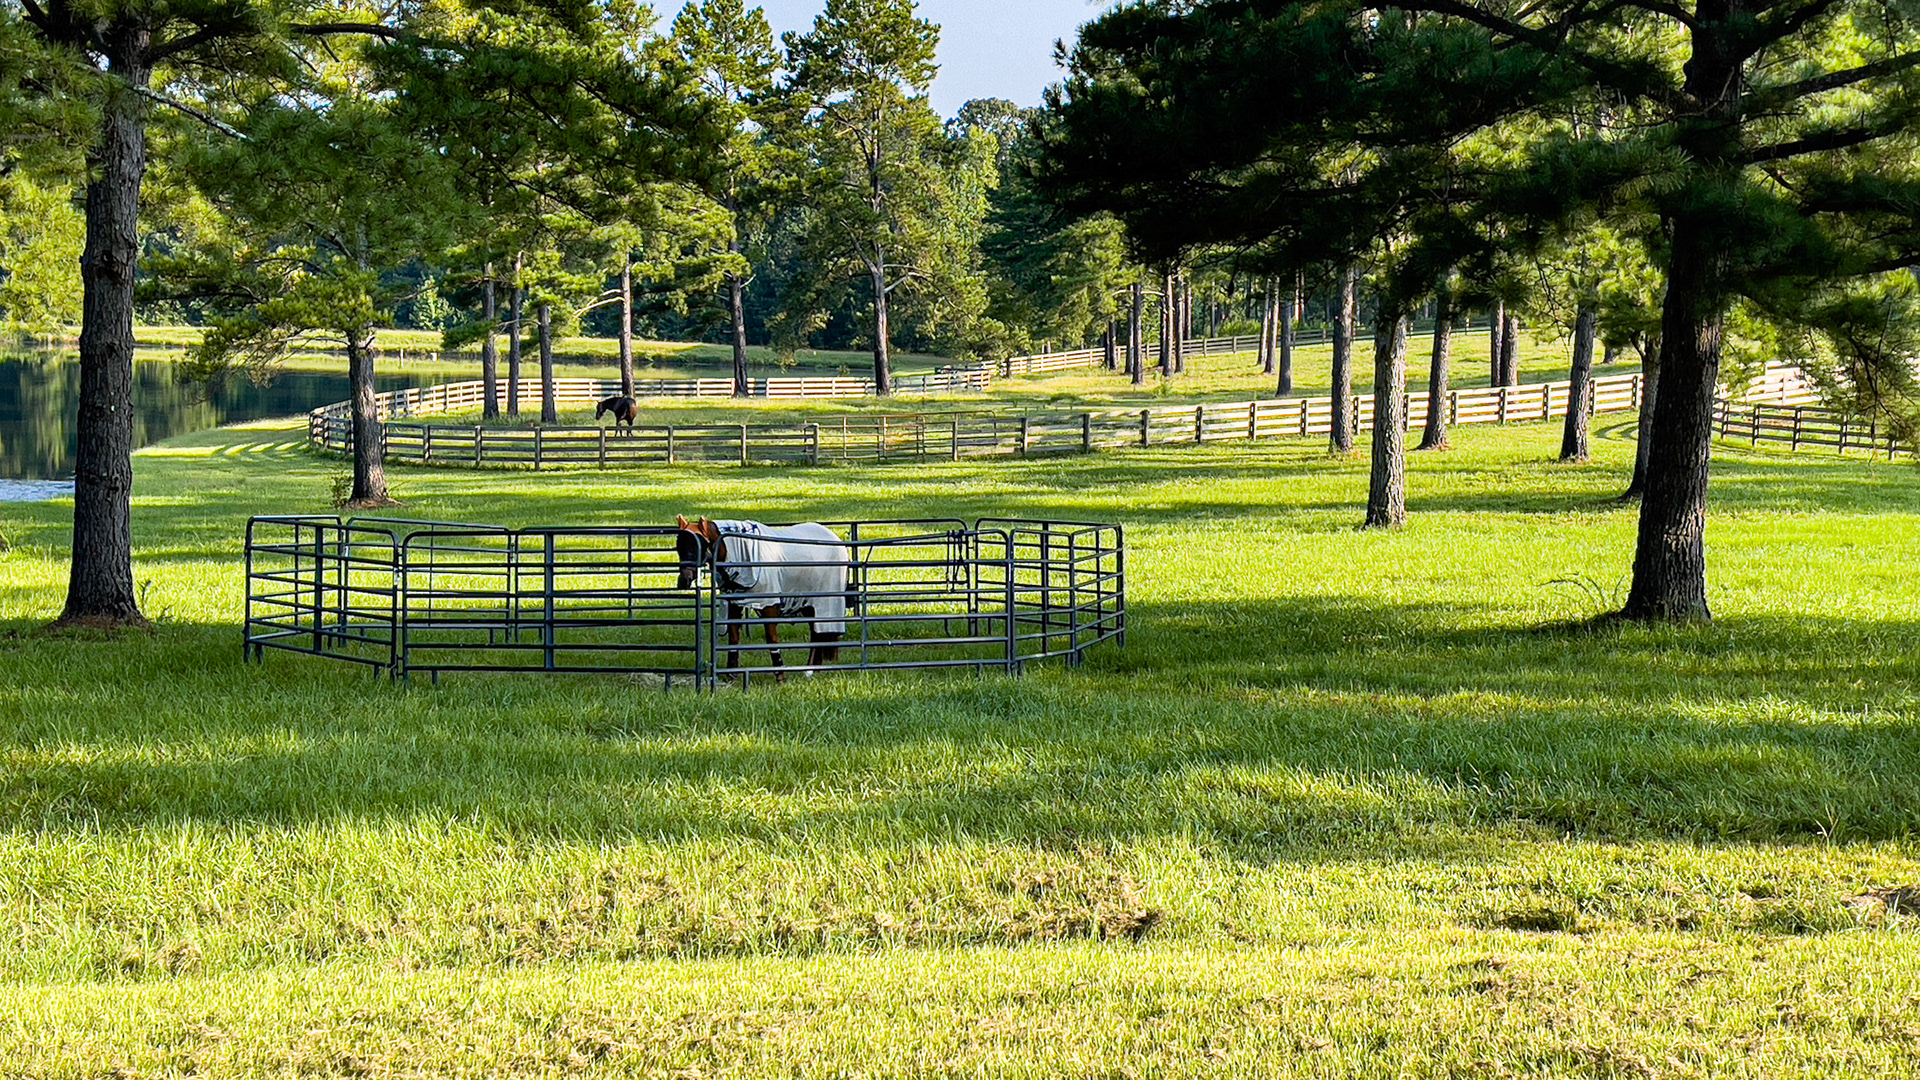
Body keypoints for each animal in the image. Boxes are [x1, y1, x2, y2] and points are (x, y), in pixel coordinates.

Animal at [674, 515, 850, 677]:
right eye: (679, 546)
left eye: (698, 547)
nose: (684, 581)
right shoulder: (735, 604)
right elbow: (734, 638)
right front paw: (731, 674)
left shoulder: (769, 605)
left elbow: (771, 638)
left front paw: (780, 674)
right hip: (809, 604)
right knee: (817, 633)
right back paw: (814, 669)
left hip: (822, 603)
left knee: (817, 634)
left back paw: (810, 669)